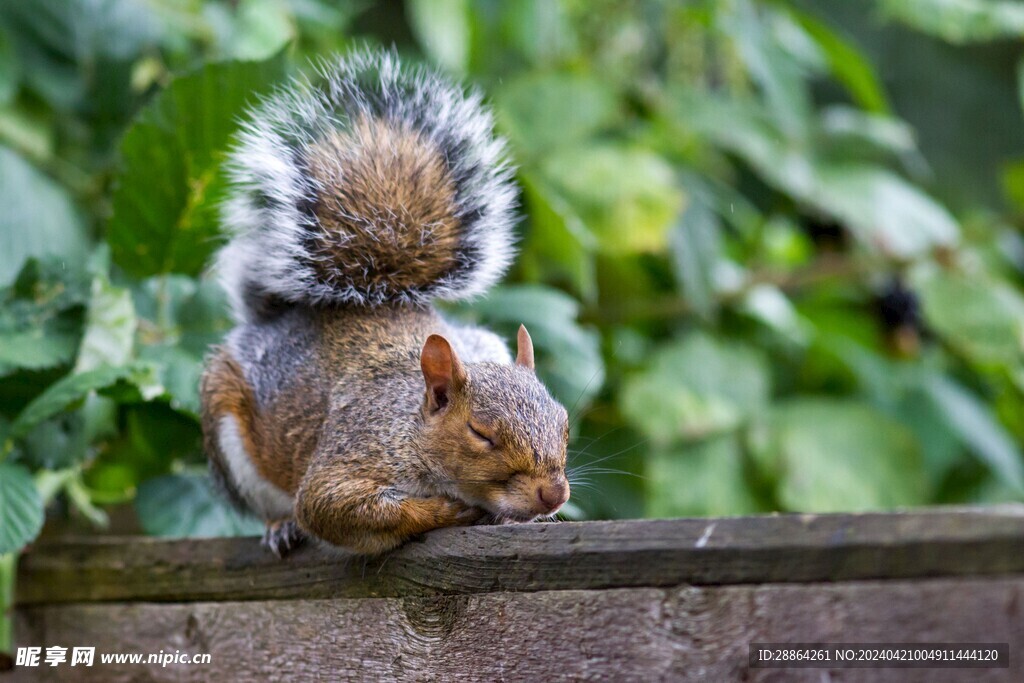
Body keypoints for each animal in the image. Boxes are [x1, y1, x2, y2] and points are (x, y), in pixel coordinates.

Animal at [195, 50, 573, 557]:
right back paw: (280, 526)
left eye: (565, 423)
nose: (554, 493)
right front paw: (447, 512)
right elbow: (331, 508)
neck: (411, 426)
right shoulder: (353, 454)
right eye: (481, 434)